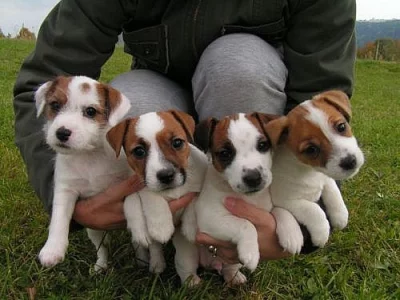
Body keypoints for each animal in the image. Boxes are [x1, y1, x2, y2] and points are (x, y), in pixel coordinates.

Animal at [35, 74, 130, 270]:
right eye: (55, 105)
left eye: (90, 111)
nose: (62, 133)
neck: (88, 154)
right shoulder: (65, 190)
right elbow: (59, 218)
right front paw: (52, 248)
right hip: (94, 230)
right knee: (102, 247)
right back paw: (101, 266)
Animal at [106, 109, 208, 274]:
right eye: (139, 151)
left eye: (177, 143)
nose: (166, 176)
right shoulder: (143, 184)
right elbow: (153, 198)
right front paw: (161, 228)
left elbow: (195, 197)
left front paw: (191, 227)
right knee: (152, 245)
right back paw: (153, 262)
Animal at [181, 111, 278, 284]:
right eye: (225, 153)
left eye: (262, 145)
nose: (253, 178)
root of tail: (211, 263)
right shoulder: (210, 218)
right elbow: (245, 223)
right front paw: (251, 252)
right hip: (188, 253)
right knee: (186, 267)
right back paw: (191, 282)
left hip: (231, 261)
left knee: (229, 267)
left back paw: (233, 277)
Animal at [266, 89, 366, 253]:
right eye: (311, 149)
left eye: (341, 127)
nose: (350, 161)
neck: (308, 170)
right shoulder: (287, 200)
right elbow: (314, 210)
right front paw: (322, 233)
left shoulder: (325, 177)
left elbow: (333, 191)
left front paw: (340, 215)